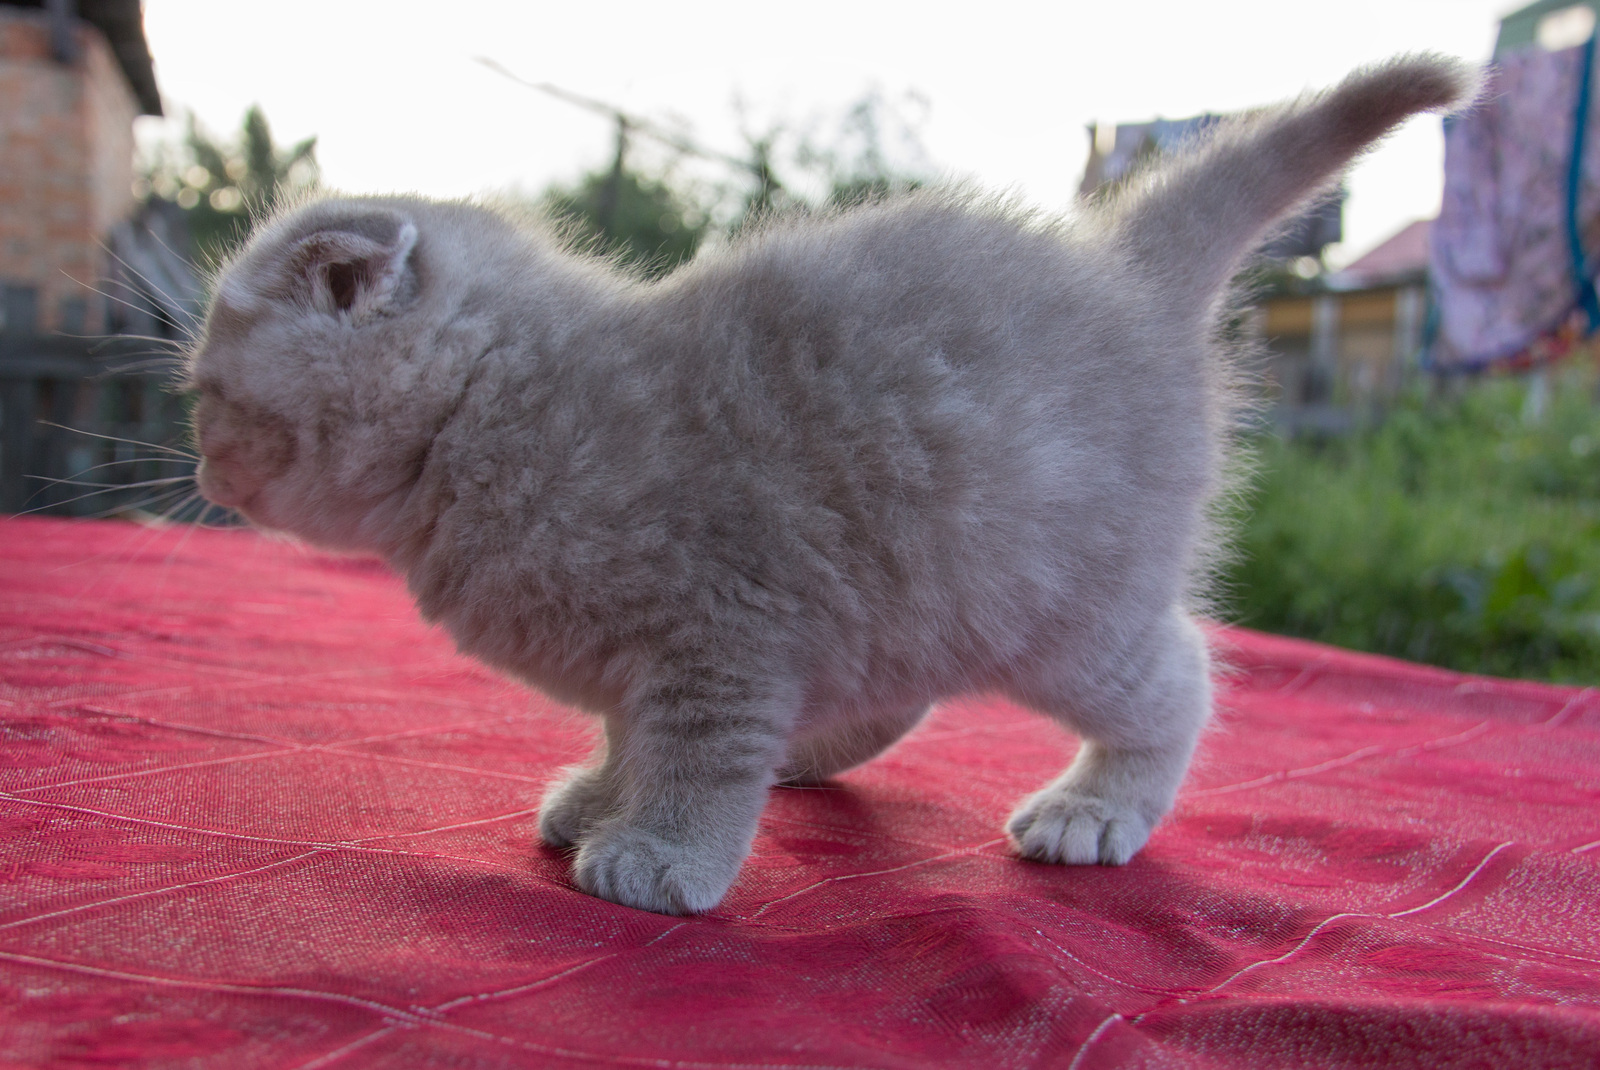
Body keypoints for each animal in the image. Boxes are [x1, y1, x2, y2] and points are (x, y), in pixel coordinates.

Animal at [187, 56, 1472, 908]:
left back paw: (1095, 807)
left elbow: (697, 749)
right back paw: (806, 753)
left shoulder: (723, 629)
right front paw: (606, 794)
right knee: (898, 689)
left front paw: (663, 852)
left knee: (1180, 678)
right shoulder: (672, 649)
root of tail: (1126, 272)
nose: (198, 462)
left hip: (1056, 601)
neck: (501, 412)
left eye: (208, 392)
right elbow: (630, 726)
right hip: (915, 588)